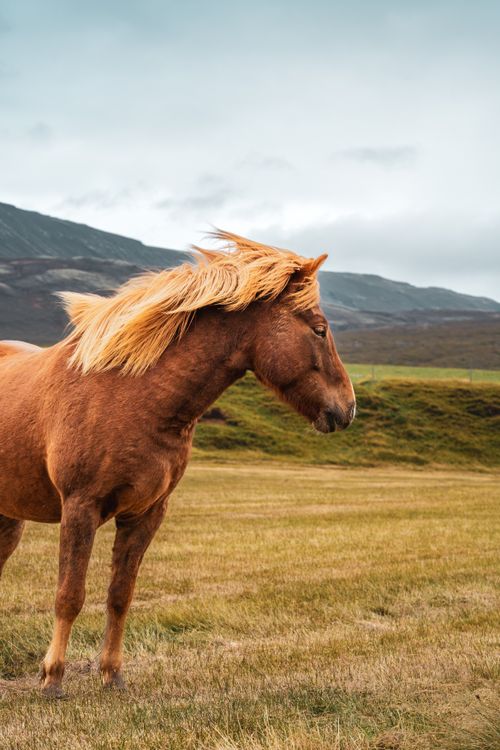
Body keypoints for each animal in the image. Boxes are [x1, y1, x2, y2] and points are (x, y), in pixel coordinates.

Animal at [0, 230, 355, 698]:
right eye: (319, 329)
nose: (348, 408)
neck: (131, 393)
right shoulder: (80, 508)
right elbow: (69, 595)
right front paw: (52, 678)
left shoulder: (146, 513)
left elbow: (120, 595)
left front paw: (112, 675)